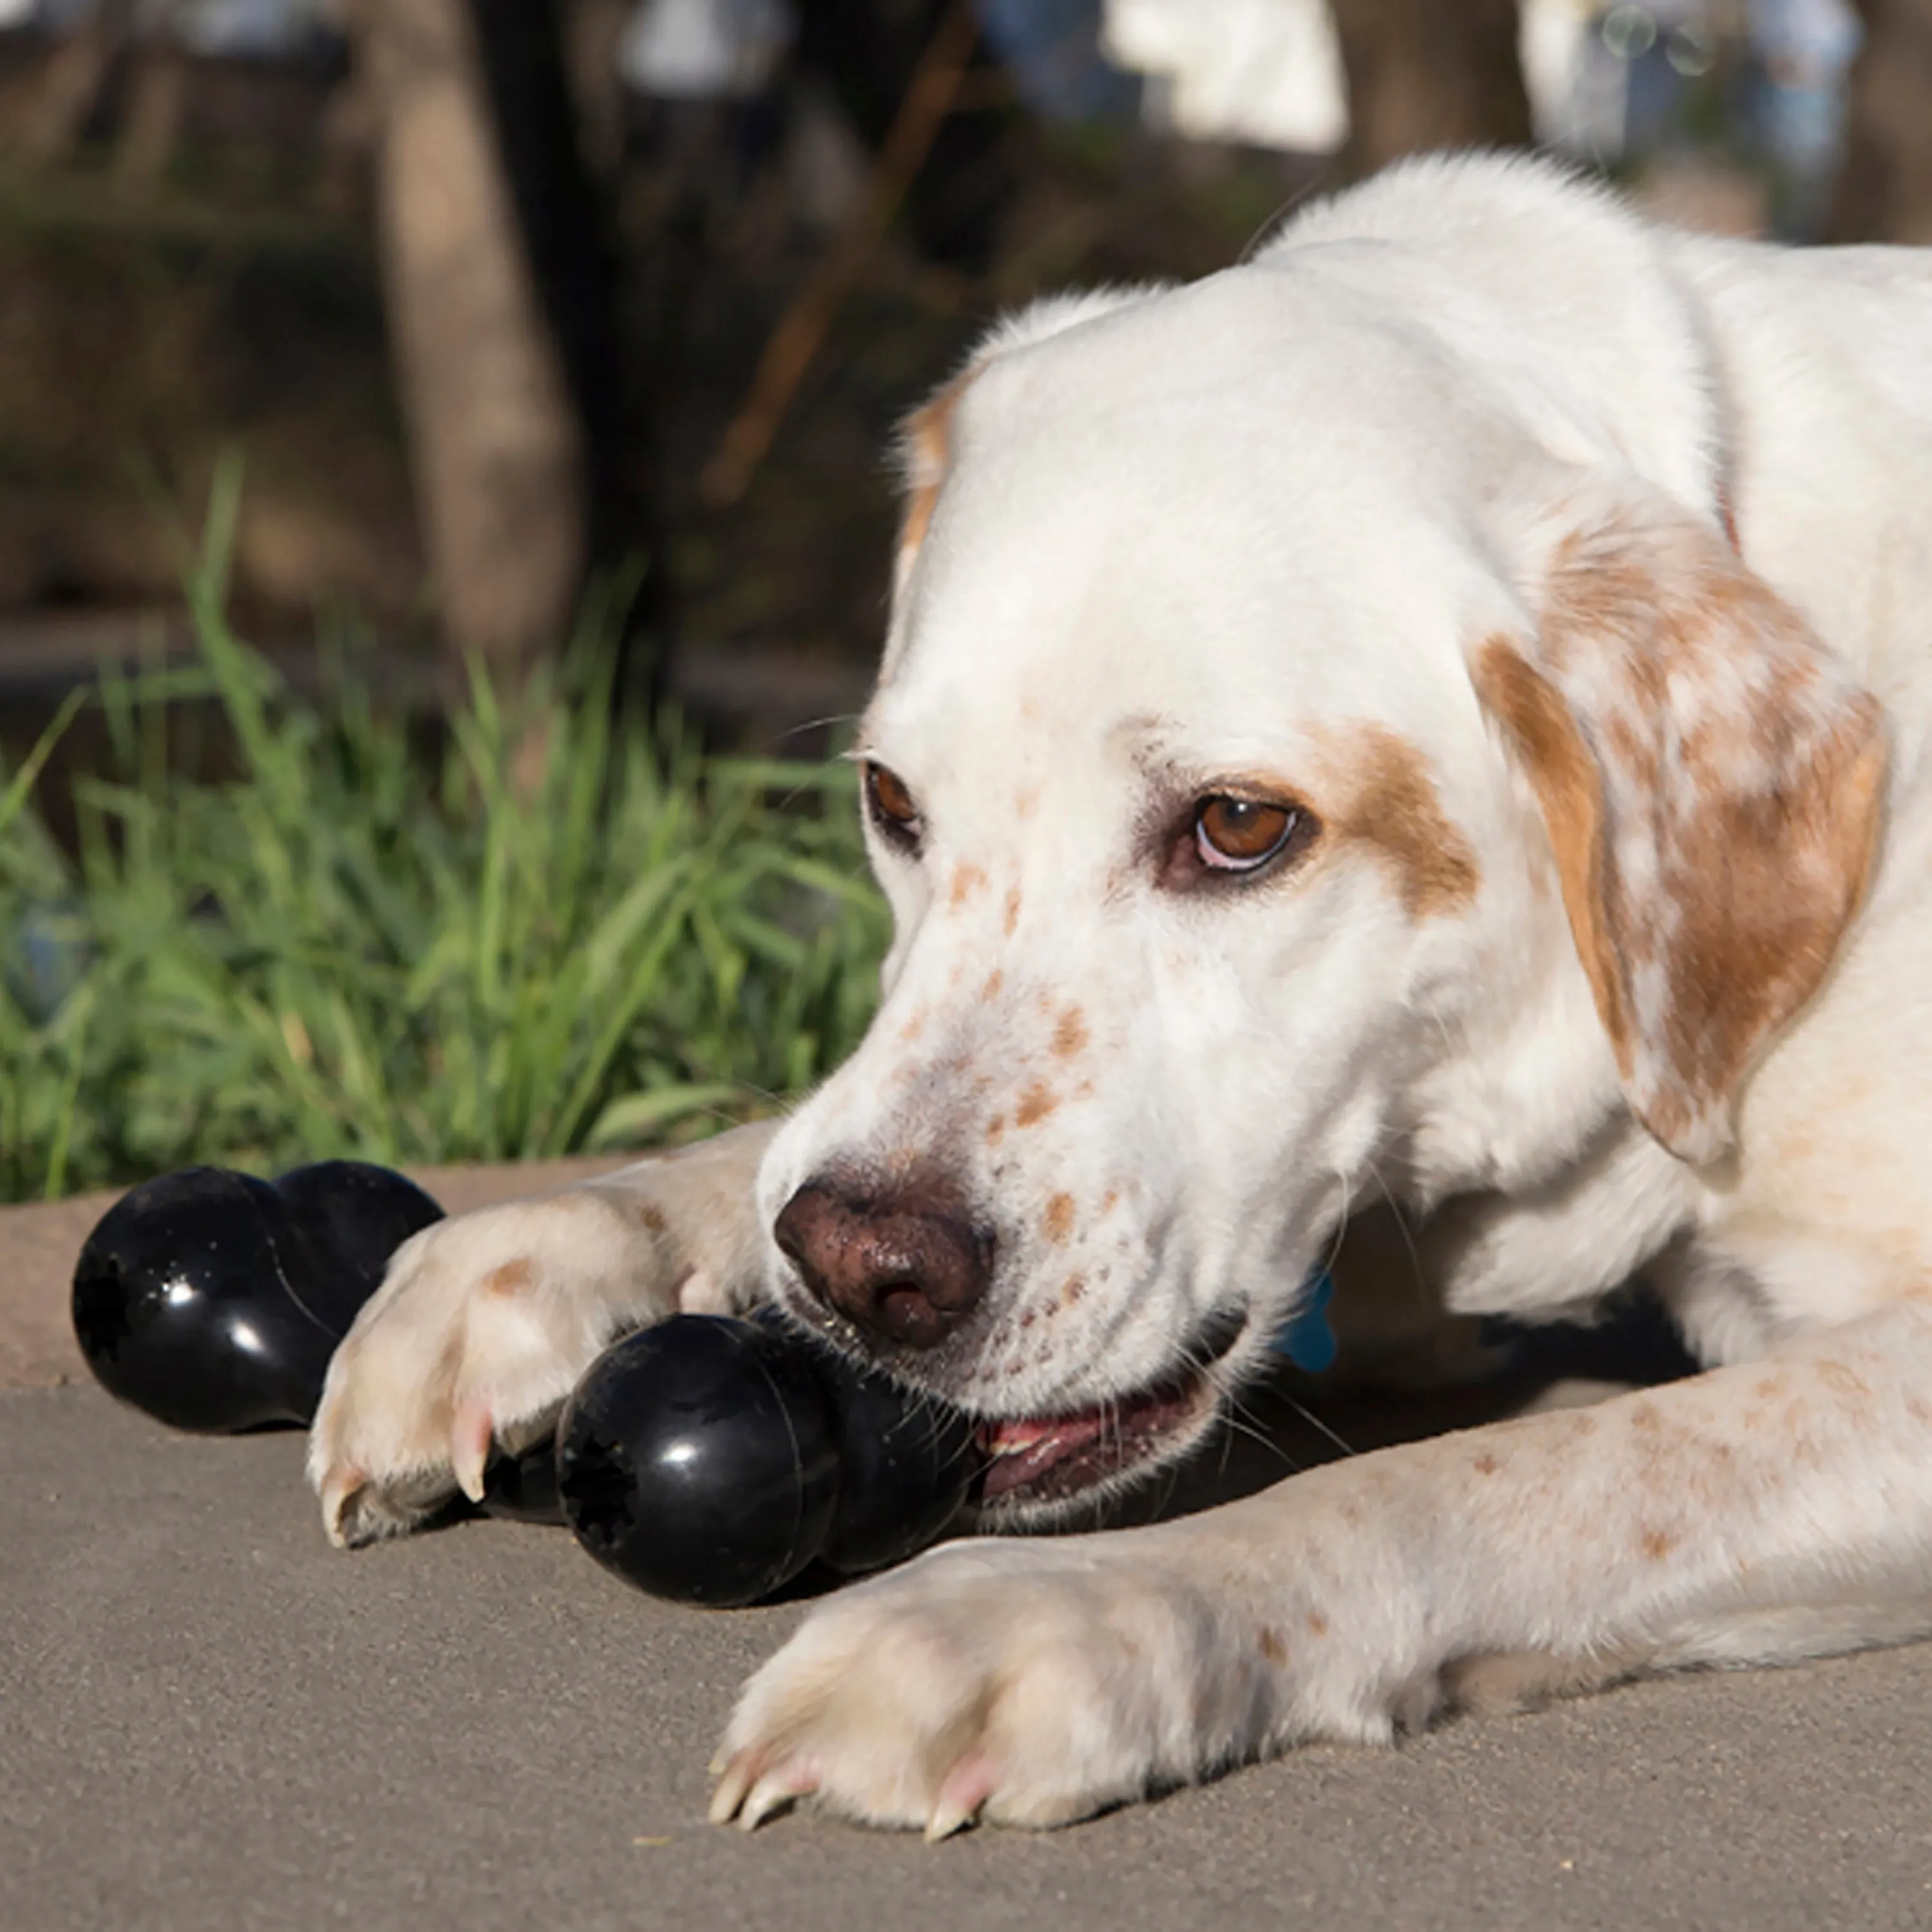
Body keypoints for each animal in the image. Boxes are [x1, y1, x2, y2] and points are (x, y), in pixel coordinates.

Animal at [305, 158, 1932, 1832]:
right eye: (891, 799)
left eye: (1240, 825)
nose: (862, 1272)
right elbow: (757, 1151)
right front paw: (546, 1244)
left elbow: (1512, 1470)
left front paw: (1060, 1613)